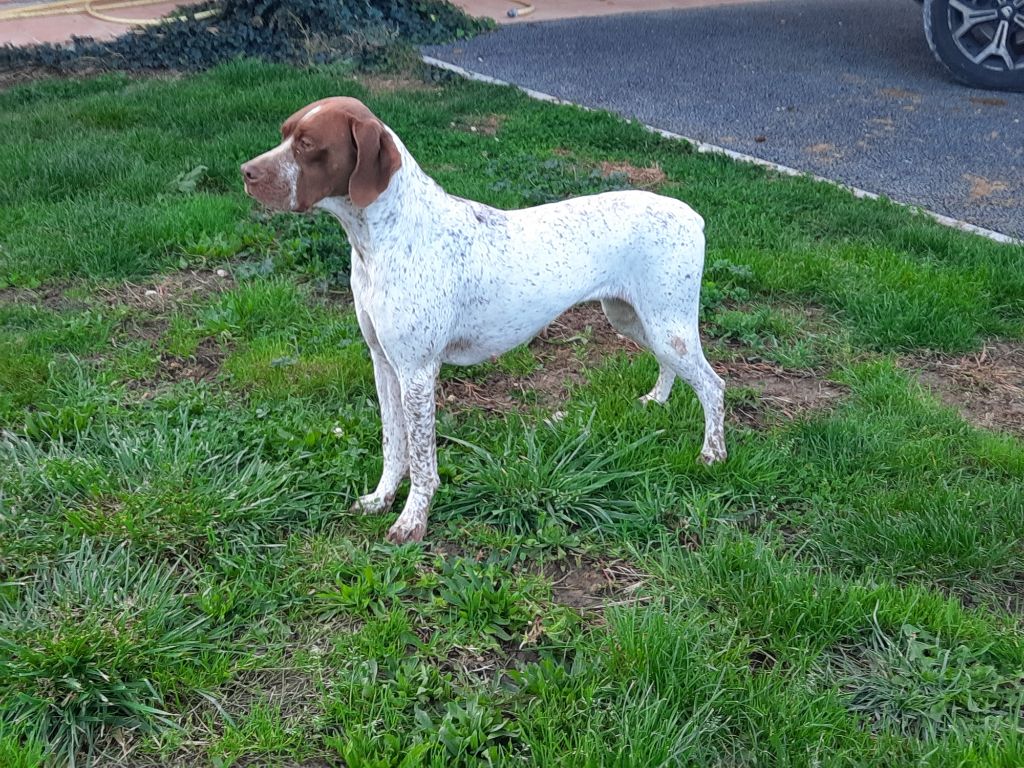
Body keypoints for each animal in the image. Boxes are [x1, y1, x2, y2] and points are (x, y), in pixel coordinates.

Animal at [241, 97, 729, 548]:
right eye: (284, 133)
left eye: (307, 144)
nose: (246, 172)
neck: (384, 240)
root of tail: (693, 215)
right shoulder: (383, 363)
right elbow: (393, 444)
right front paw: (381, 499)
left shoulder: (417, 373)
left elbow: (422, 460)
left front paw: (412, 521)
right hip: (636, 319)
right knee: (672, 367)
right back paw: (657, 400)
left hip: (667, 324)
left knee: (713, 385)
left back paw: (713, 454)